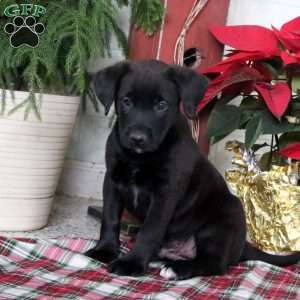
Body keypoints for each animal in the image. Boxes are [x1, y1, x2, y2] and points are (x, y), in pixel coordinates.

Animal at [86, 59, 300, 280]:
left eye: (161, 105)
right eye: (126, 101)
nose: (138, 138)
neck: (140, 157)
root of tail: (241, 246)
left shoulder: (165, 193)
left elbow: (150, 230)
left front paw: (132, 263)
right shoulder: (112, 181)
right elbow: (110, 218)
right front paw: (105, 250)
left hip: (224, 219)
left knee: (214, 263)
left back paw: (176, 269)